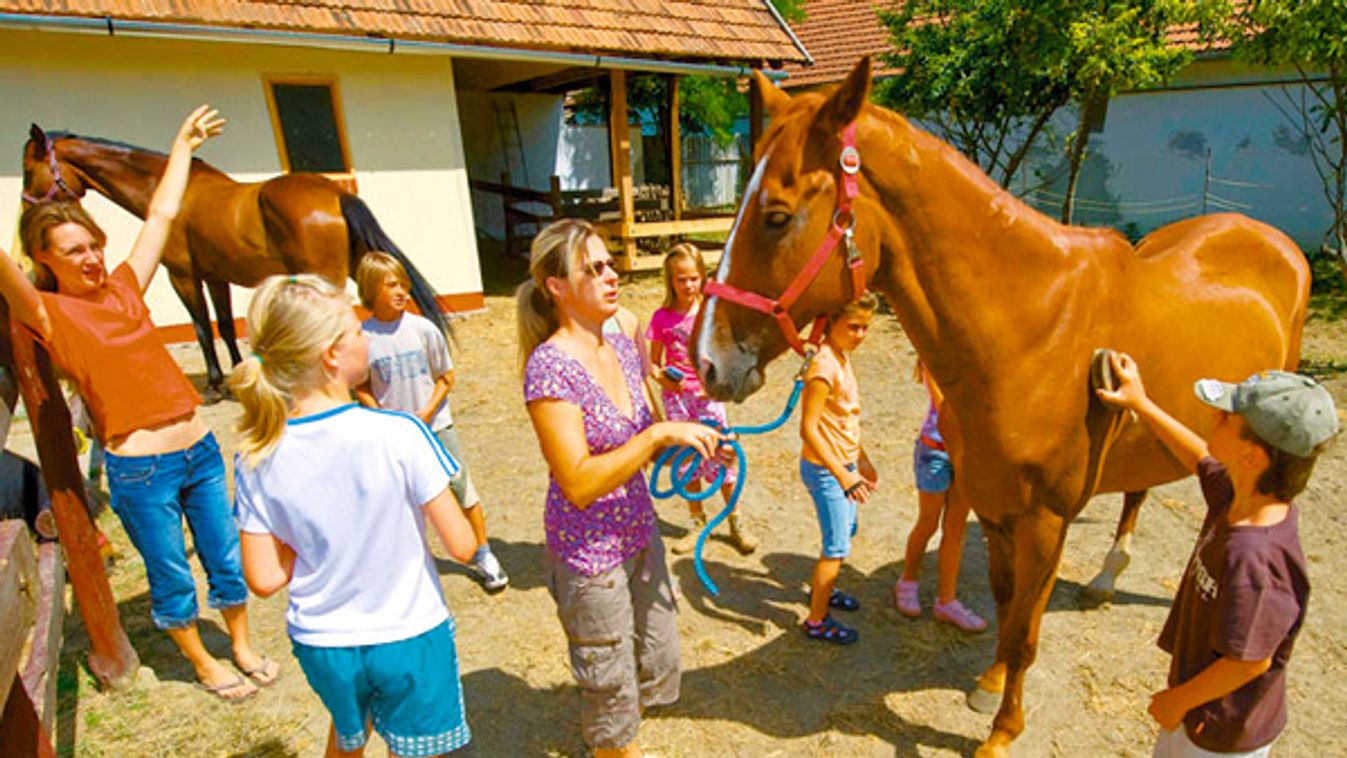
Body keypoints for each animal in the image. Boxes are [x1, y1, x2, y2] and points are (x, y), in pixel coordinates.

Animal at [19, 124, 447, 403]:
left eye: (26, 168)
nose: (24, 210)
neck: (174, 191)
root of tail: (333, 193)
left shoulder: (182, 276)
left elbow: (201, 328)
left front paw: (214, 384)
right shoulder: (215, 277)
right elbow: (224, 325)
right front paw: (240, 375)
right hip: (360, 267)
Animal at [700, 57, 1309, 753]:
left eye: (775, 216)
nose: (705, 358)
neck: (1032, 328)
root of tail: (1268, 235)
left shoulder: (1045, 519)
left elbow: (1023, 628)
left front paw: (1001, 730)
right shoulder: (992, 504)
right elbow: (1005, 599)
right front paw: (989, 684)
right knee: (1143, 491)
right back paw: (1105, 579)